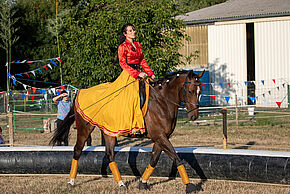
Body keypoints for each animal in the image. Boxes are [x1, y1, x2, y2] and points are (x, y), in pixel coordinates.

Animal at [49, 69, 204, 191]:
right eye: (190, 91)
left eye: (200, 92)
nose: (194, 116)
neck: (162, 102)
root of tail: (81, 91)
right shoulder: (159, 136)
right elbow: (176, 157)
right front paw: (189, 186)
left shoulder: (161, 137)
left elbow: (154, 159)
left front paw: (143, 183)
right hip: (85, 128)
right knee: (77, 150)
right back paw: (71, 182)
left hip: (109, 132)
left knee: (110, 154)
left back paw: (121, 184)